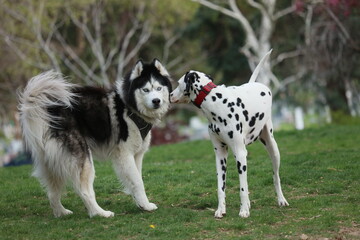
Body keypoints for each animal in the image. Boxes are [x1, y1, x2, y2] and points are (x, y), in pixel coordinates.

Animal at [18, 59, 173, 218]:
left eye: (159, 88)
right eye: (146, 90)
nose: (156, 101)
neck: (130, 108)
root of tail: (51, 109)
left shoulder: (137, 155)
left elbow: (136, 179)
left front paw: (141, 204)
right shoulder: (124, 154)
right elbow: (137, 182)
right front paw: (146, 206)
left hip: (52, 161)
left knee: (52, 192)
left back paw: (61, 212)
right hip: (84, 159)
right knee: (84, 191)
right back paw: (99, 213)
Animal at [170, 51, 288, 219]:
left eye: (179, 83)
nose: (170, 95)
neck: (215, 102)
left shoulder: (240, 154)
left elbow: (243, 188)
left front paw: (243, 210)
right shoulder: (220, 155)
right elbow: (221, 187)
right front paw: (221, 209)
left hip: (272, 148)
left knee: (276, 176)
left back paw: (281, 199)